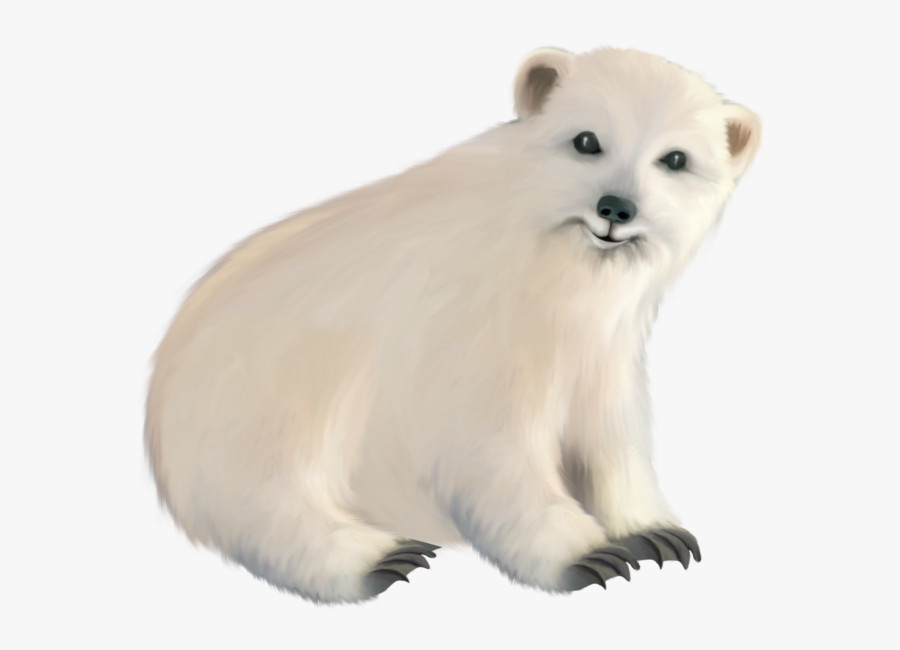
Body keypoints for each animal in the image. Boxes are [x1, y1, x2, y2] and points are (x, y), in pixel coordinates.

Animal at [145, 46, 761, 603]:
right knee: (270, 486)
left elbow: (608, 432)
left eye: (675, 158)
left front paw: (655, 533)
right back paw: (377, 555)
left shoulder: (604, 345)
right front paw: (589, 554)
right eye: (587, 140)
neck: (551, 271)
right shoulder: (473, 335)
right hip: (268, 386)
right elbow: (491, 448)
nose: (616, 208)